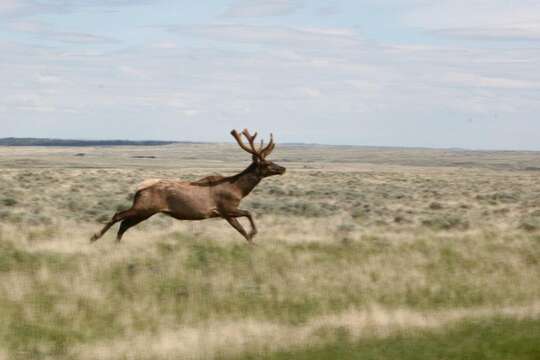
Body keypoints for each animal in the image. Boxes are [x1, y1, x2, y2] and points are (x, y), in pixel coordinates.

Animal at [92, 128, 286, 243]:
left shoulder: (224, 213)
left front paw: (252, 241)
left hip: (147, 211)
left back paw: (115, 243)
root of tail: (139, 190)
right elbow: (248, 215)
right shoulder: (225, 207)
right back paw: (95, 237)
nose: (282, 168)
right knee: (118, 215)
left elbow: (241, 230)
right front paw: (254, 235)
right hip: (144, 206)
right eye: (267, 164)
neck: (238, 189)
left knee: (125, 224)